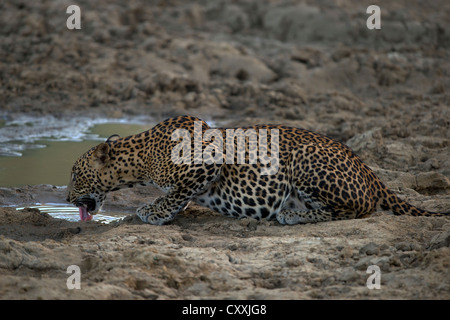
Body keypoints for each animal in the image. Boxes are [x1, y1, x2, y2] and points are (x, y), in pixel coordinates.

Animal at [65, 115, 448, 225]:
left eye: (73, 174)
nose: (66, 199)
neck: (141, 156)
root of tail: (366, 167)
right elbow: (179, 196)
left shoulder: (209, 161)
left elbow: (175, 194)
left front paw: (154, 211)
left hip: (306, 161)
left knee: (354, 210)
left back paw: (293, 216)